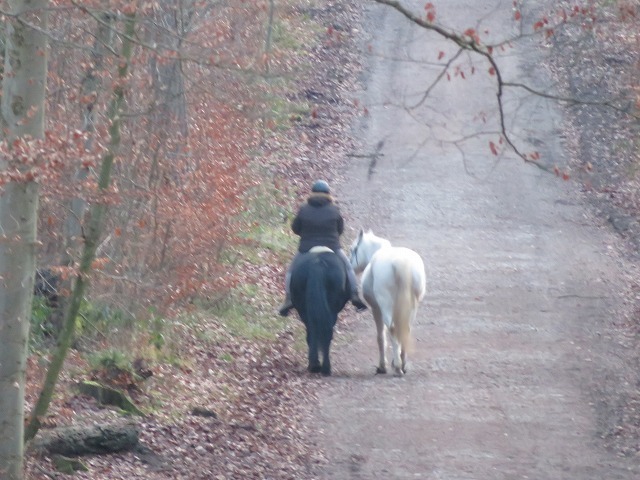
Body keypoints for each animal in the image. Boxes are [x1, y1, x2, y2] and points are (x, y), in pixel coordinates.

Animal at [350, 229, 424, 376]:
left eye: (353, 249)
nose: (350, 266)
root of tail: (400, 262)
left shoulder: (376, 309)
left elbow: (381, 337)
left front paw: (382, 366)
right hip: (413, 306)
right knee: (406, 329)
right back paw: (403, 364)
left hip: (385, 305)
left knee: (393, 329)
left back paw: (397, 368)